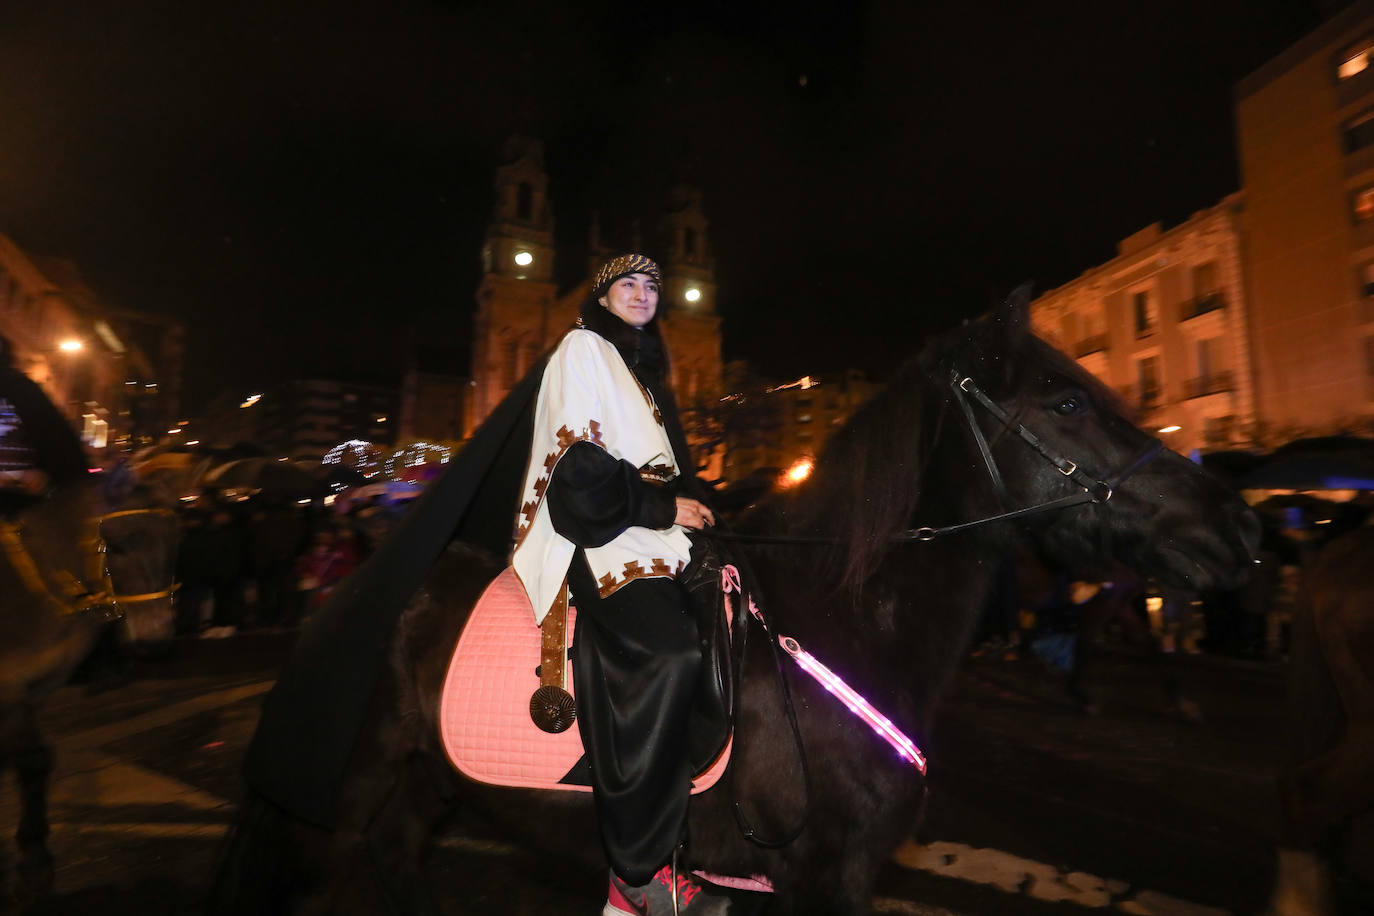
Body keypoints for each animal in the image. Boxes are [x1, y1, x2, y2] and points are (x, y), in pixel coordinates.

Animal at [0, 477, 179, 906]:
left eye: (176, 540)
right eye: (116, 544)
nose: (155, 641)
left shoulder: (31, 693)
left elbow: (33, 762)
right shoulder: (11, 690)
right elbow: (31, 760)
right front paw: (34, 864)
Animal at [211, 295, 1258, 916]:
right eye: (1067, 403)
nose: (1239, 524)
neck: (844, 618)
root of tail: (349, 592)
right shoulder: (821, 881)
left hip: (423, 790)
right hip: (333, 811)